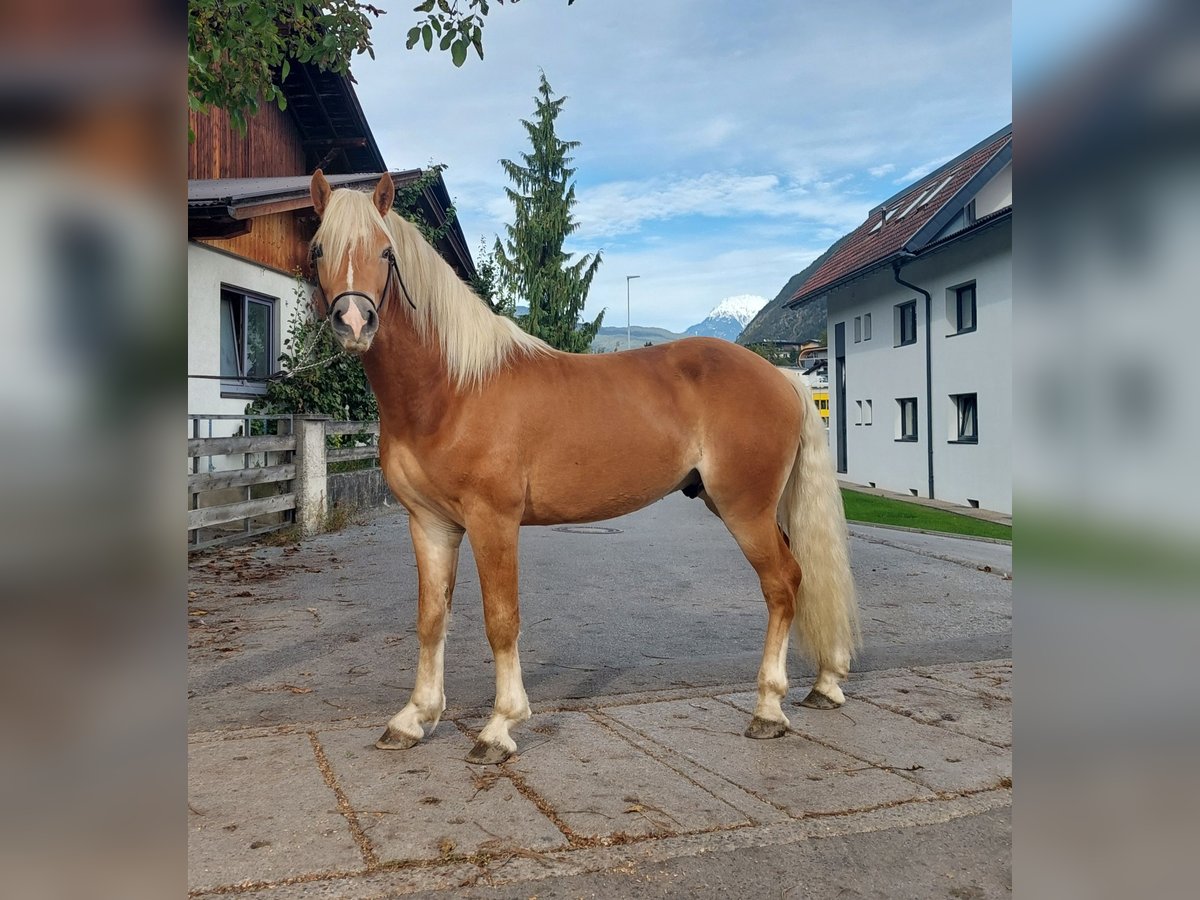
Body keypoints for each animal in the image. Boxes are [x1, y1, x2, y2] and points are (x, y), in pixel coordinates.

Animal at [304, 170, 859, 768]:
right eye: (318, 249)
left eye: (385, 251)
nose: (354, 321)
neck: (451, 389)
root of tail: (783, 377)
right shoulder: (430, 524)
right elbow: (431, 619)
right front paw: (413, 718)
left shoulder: (493, 521)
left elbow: (501, 619)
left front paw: (499, 727)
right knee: (801, 576)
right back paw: (824, 683)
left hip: (745, 508)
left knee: (782, 583)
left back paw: (769, 709)